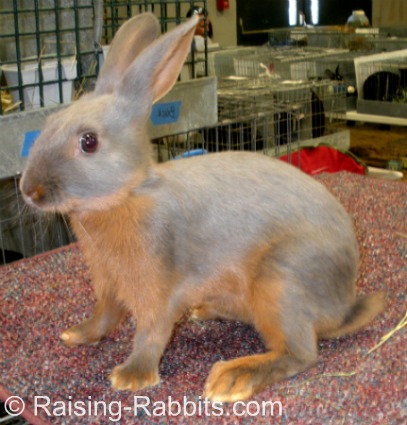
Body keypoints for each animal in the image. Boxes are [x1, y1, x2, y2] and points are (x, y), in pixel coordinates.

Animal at [19, 13, 386, 402]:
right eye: (47, 124)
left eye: (89, 142)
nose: (29, 190)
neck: (128, 194)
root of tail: (344, 304)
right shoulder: (108, 282)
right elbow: (105, 314)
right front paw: (77, 334)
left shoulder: (157, 289)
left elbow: (151, 332)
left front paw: (131, 376)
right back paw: (206, 313)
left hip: (281, 282)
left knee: (300, 352)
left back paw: (232, 377)